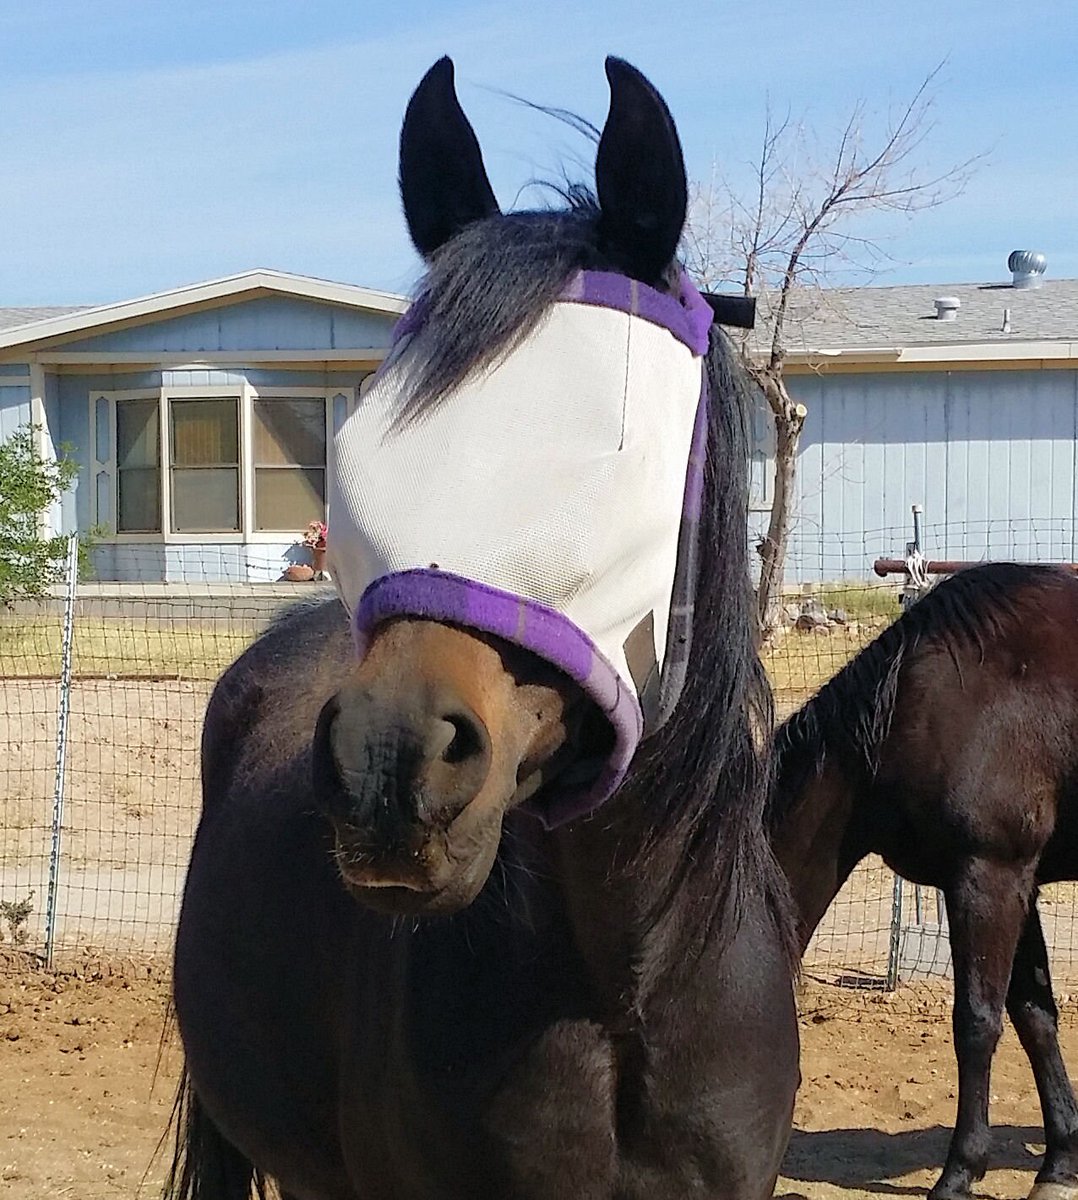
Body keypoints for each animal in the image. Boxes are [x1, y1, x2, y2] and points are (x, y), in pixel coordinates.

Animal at [770, 560, 1078, 1200]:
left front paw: (959, 1172)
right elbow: (1035, 1017)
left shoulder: (986, 878)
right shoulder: (1019, 884)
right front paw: (1060, 1164)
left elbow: (977, 1024)